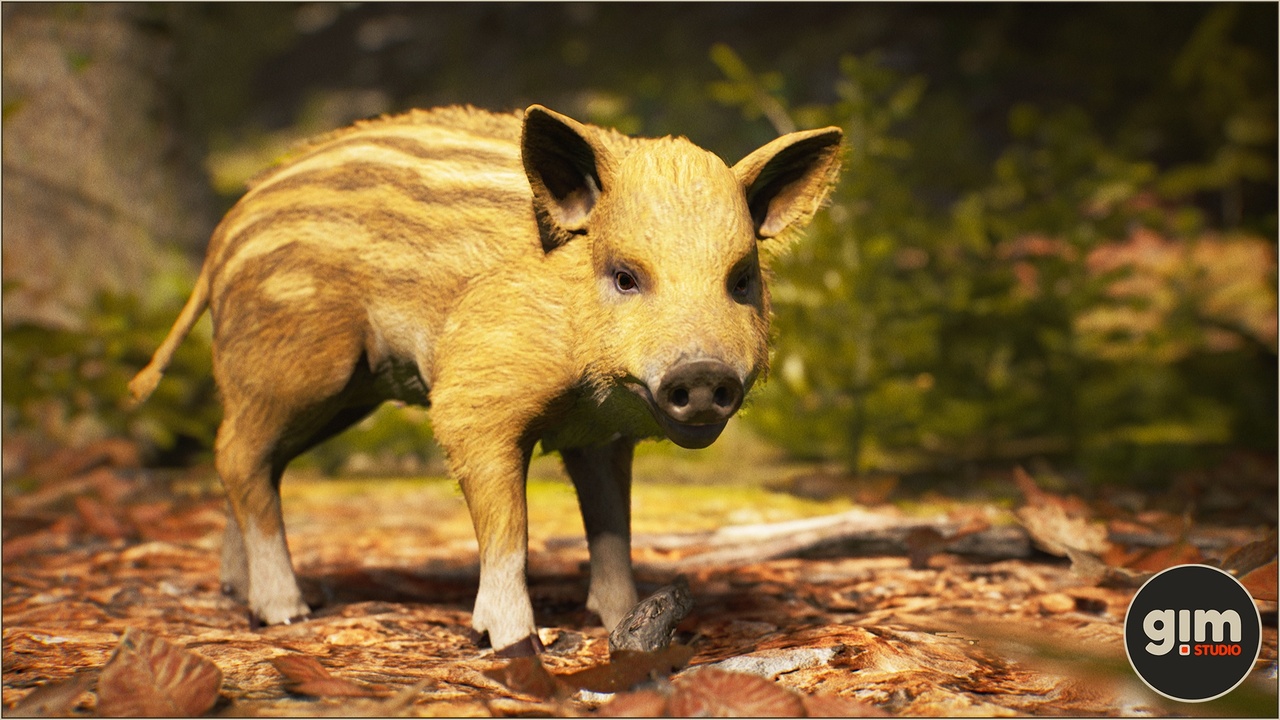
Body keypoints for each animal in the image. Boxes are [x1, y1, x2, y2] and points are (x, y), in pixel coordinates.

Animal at [129, 105, 842, 653]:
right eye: (624, 276)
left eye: (741, 279)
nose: (702, 375)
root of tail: (221, 237)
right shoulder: (474, 401)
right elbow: (510, 530)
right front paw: (514, 641)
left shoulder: (601, 435)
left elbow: (612, 524)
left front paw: (617, 618)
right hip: (295, 368)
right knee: (239, 455)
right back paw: (285, 611)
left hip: (338, 395)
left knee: (250, 458)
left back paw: (239, 594)